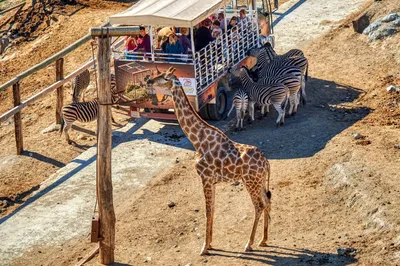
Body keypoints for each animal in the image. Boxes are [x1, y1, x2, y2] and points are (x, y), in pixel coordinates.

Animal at [147, 67, 272, 256]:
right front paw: (210, 244)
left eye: (164, 78)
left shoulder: (205, 178)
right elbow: (212, 209)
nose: (148, 81)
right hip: (259, 181)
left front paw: (204, 247)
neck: (198, 140)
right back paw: (263, 240)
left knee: (258, 206)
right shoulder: (212, 181)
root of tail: (266, 163)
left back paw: (248, 244)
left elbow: (206, 211)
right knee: (267, 202)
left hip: (250, 182)